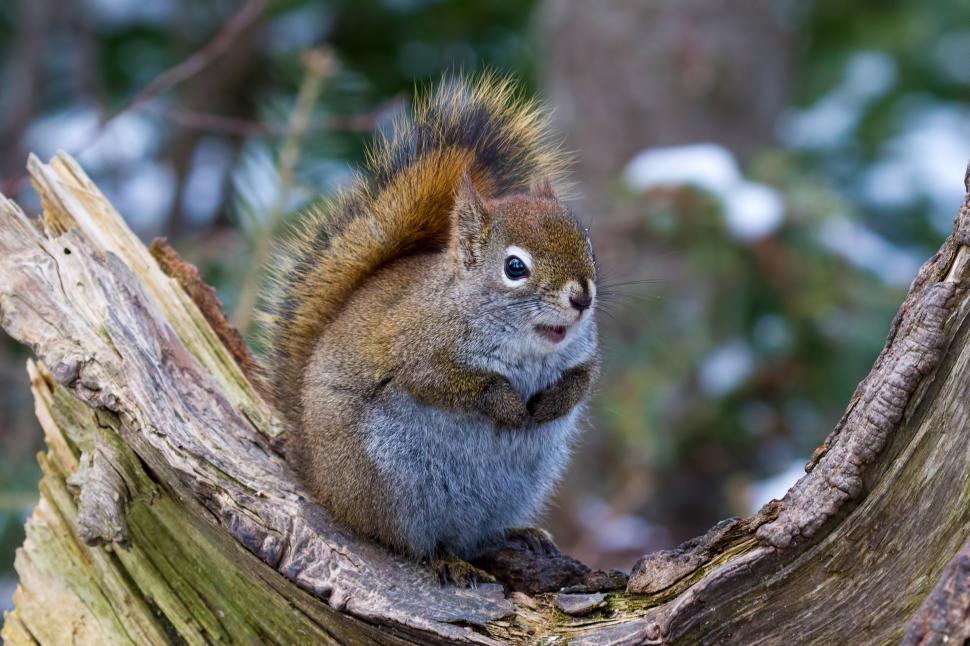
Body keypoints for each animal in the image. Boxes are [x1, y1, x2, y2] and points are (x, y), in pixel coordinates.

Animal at [262, 75, 599, 584]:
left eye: (588, 243)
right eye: (515, 267)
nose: (582, 298)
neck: (528, 345)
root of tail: (320, 479)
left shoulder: (585, 353)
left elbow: (582, 379)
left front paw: (549, 405)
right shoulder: (413, 343)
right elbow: (447, 382)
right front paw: (508, 406)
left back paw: (519, 534)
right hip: (393, 484)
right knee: (411, 540)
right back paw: (446, 558)